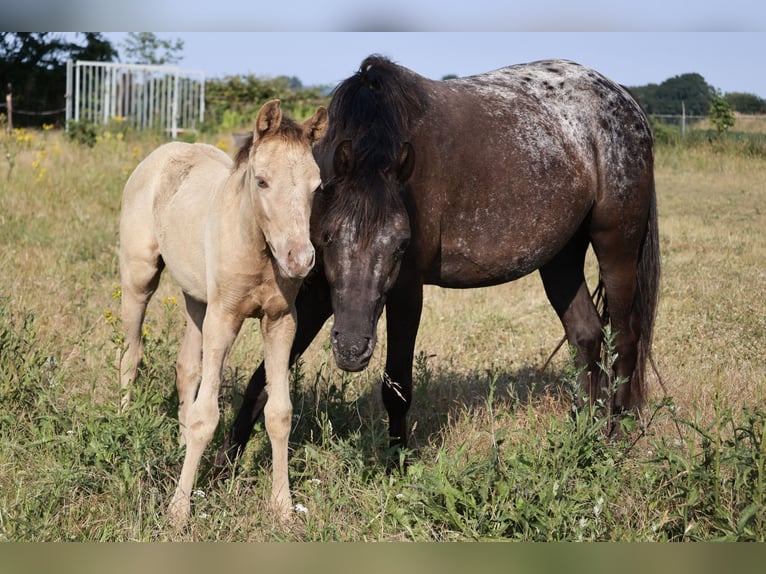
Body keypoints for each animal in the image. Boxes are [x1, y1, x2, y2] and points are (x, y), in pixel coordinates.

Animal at [118, 99, 328, 526]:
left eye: (317, 186)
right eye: (261, 181)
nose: (299, 260)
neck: (256, 247)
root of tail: (164, 151)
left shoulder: (281, 322)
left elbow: (279, 413)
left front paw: (282, 507)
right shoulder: (224, 318)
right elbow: (206, 416)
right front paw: (178, 510)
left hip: (197, 299)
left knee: (186, 367)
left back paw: (178, 439)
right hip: (139, 277)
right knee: (131, 352)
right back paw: (124, 422)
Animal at [219, 55, 660, 468]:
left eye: (400, 246)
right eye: (327, 238)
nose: (351, 349)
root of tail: (623, 98)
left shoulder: (406, 291)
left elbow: (396, 386)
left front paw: (395, 467)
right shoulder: (319, 291)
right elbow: (262, 380)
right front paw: (223, 468)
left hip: (616, 247)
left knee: (624, 338)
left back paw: (617, 435)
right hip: (560, 257)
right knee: (586, 335)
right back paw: (583, 430)